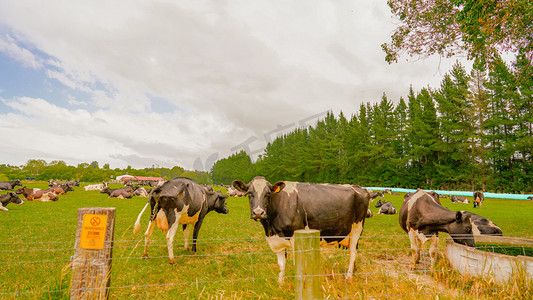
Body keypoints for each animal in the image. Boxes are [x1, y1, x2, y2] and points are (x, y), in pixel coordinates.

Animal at [233, 176, 370, 282]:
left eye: (268, 194)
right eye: (250, 194)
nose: (258, 212)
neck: (271, 227)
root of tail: (360, 188)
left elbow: (297, 265)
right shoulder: (276, 241)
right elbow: (281, 265)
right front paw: (281, 284)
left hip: (357, 228)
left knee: (353, 253)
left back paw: (348, 278)